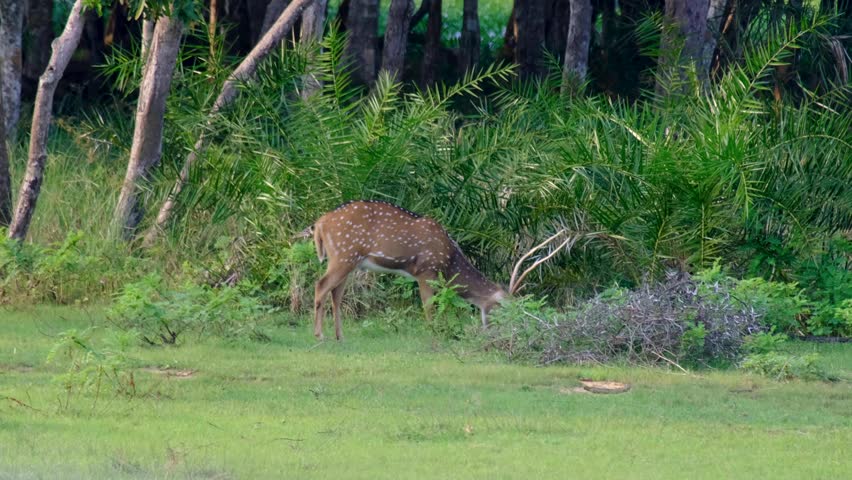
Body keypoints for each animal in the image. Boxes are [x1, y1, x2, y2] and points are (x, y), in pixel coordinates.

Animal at [302, 200, 579, 340]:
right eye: (502, 307)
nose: (500, 333)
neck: (450, 261)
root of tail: (320, 224)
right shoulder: (426, 270)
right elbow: (430, 307)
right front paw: (434, 334)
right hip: (344, 255)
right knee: (321, 285)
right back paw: (319, 335)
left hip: (349, 260)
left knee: (336, 293)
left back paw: (339, 336)